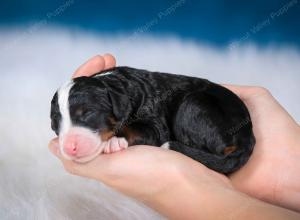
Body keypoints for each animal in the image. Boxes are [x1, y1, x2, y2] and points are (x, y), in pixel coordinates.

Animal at [51, 66, 255, 174]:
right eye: (55, 124)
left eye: (87, 113)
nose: (69, 147)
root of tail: (247, 135)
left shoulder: (156, 127)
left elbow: (136, 129)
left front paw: (115, 141)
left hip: (193, 104)